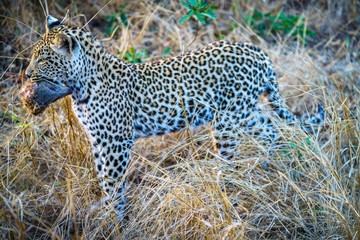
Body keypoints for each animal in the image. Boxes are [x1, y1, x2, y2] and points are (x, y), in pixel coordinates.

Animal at [19, 15, 324, 219]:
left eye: (43, 60)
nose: (27, 74)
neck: (81, 84)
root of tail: (259, 52)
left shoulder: (116, 142)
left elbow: (113, 182)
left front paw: (113, 219)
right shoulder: (98, 140)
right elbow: (104, 178)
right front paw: (106, 212)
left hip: (228, 121)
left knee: (230, 159)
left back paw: (225, 190)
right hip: (242, 112)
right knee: (270, 128)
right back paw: (269, 164)